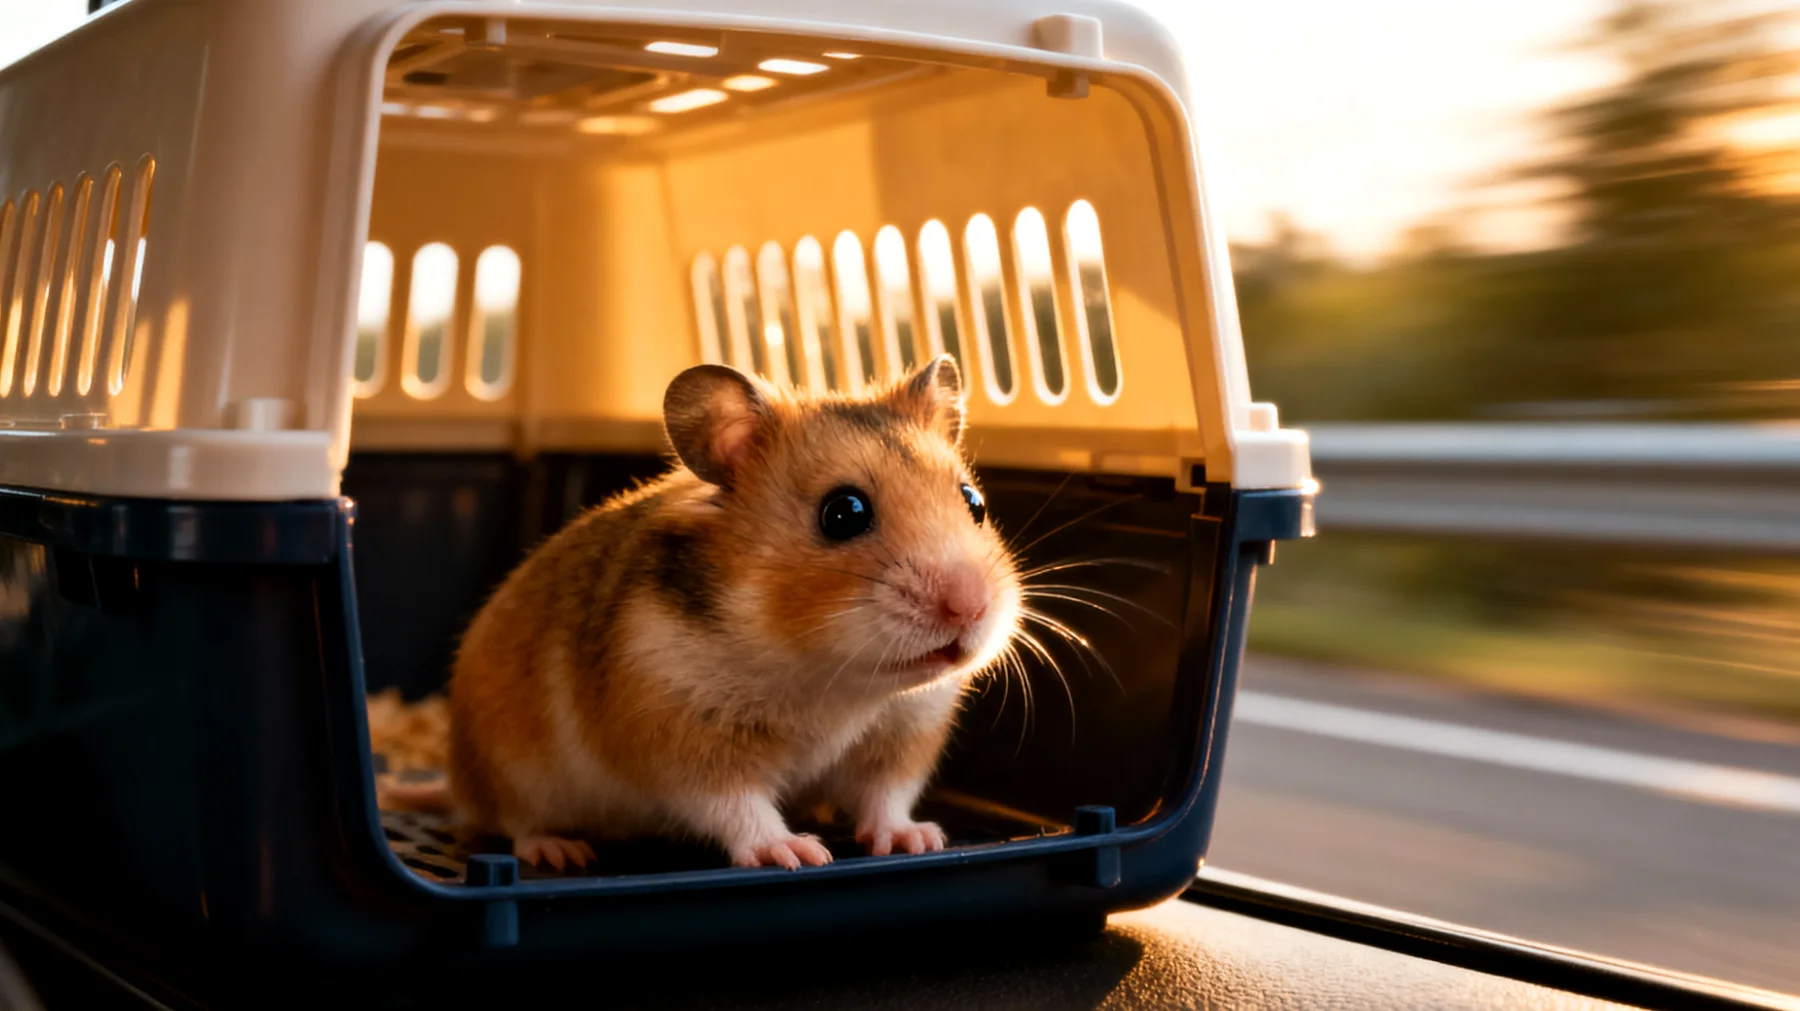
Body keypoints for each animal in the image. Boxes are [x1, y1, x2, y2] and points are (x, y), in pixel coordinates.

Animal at [441, 354, 1021, 871]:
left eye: (974, 502)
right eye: (843, 513)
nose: (970, 608)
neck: (829, 678)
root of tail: (456, 779)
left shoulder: (903, 734)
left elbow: (886, 796)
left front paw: (918, 841)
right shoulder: (683, 735)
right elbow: (737, 805)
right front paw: (795, 855)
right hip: (506, 767)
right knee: (516, 823)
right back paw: (562, 852)